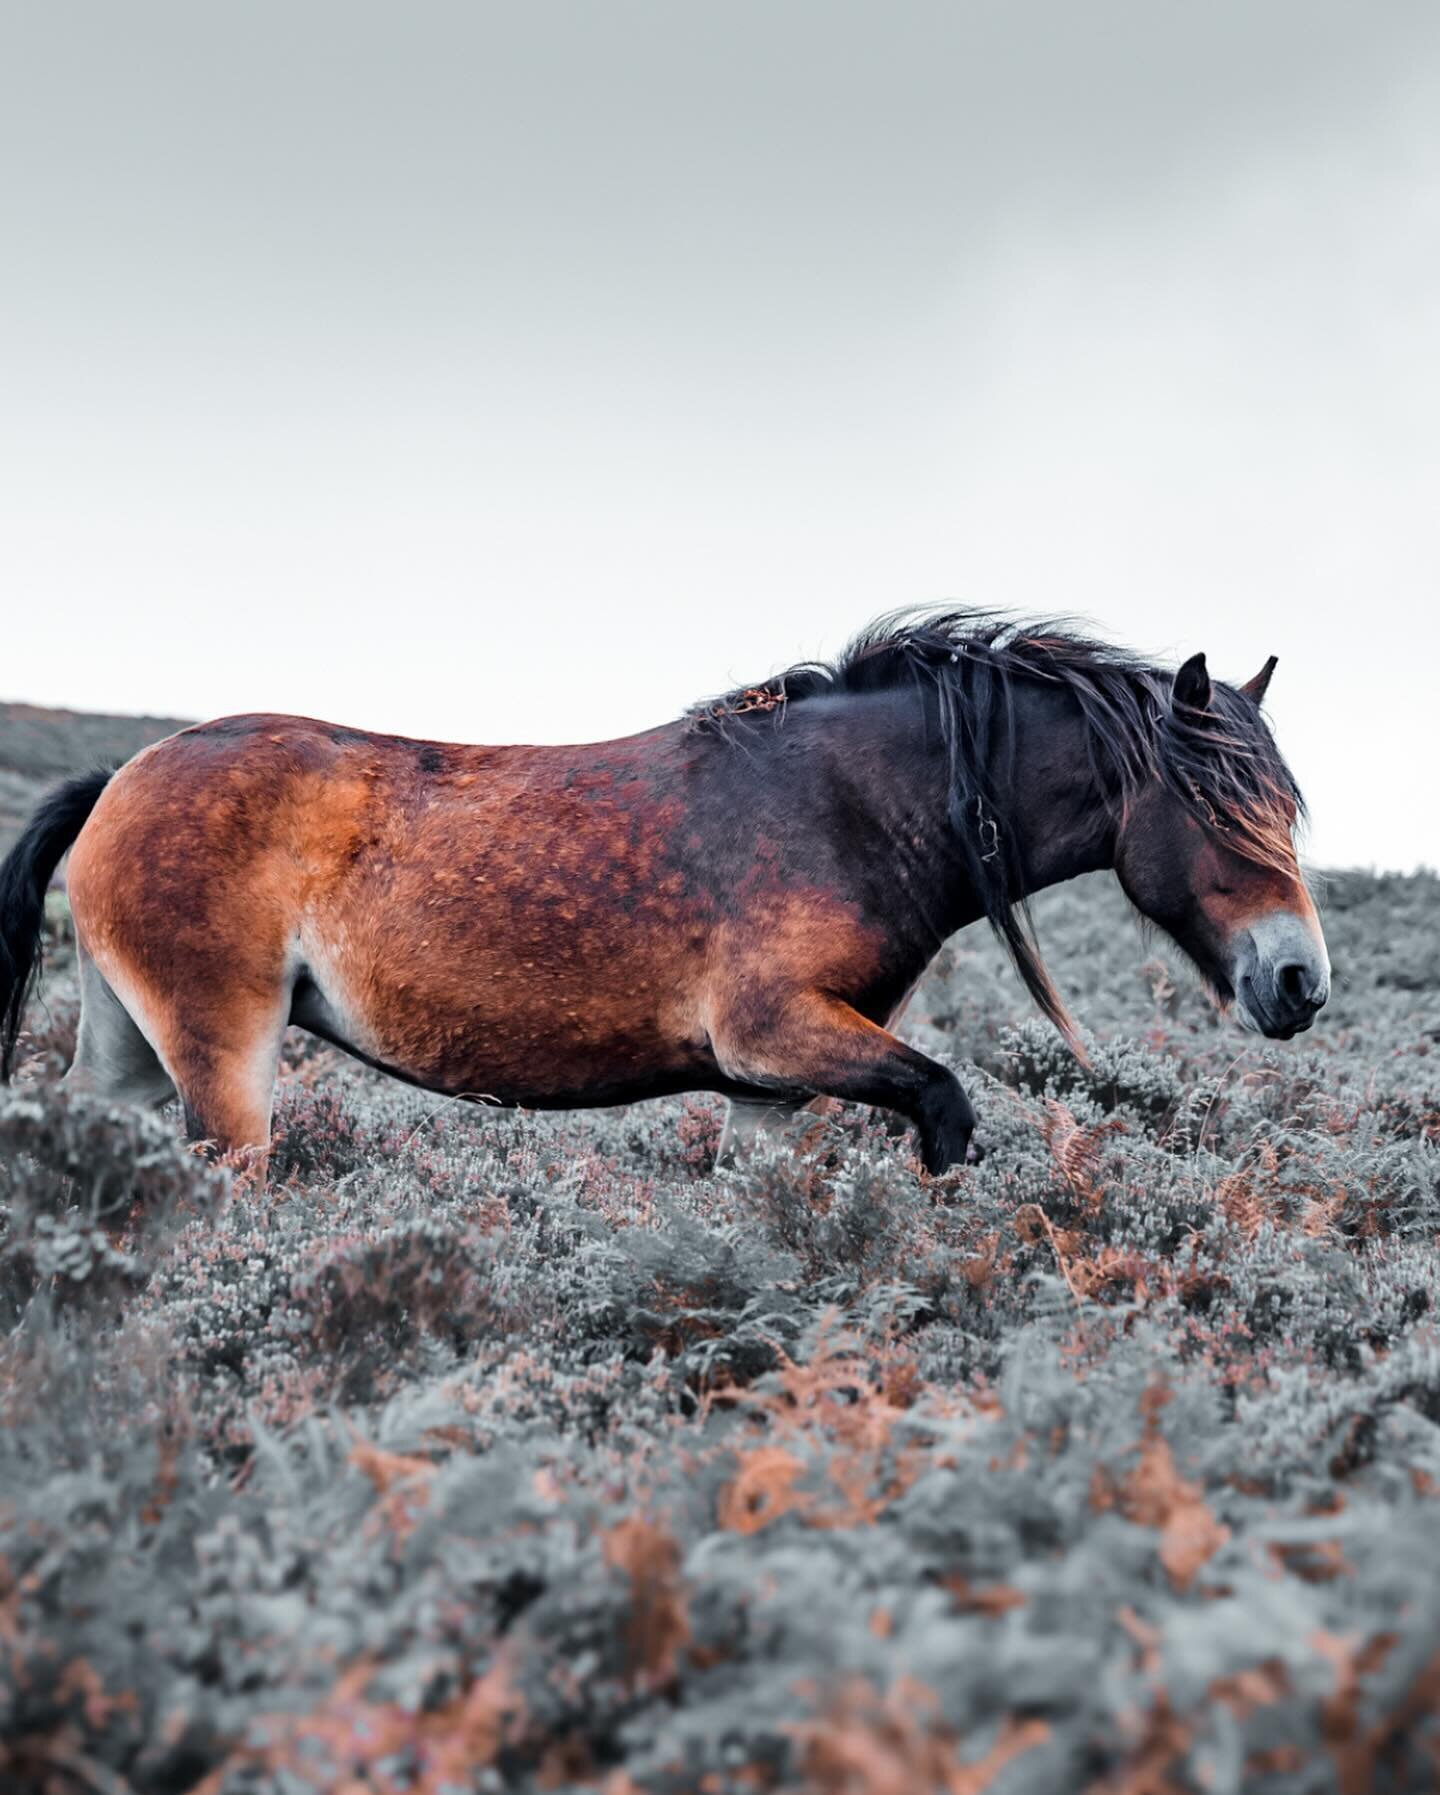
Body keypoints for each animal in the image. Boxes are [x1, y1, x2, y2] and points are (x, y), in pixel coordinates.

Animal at [0, 610, 1321, 1184]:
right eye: (1223, 815)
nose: (1299, 981)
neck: (840, 801)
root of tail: (125, 776)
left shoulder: (775, 1086)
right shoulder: (779, 1034)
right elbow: (947, 1113)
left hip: (127, 1052)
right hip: (226, 1059)